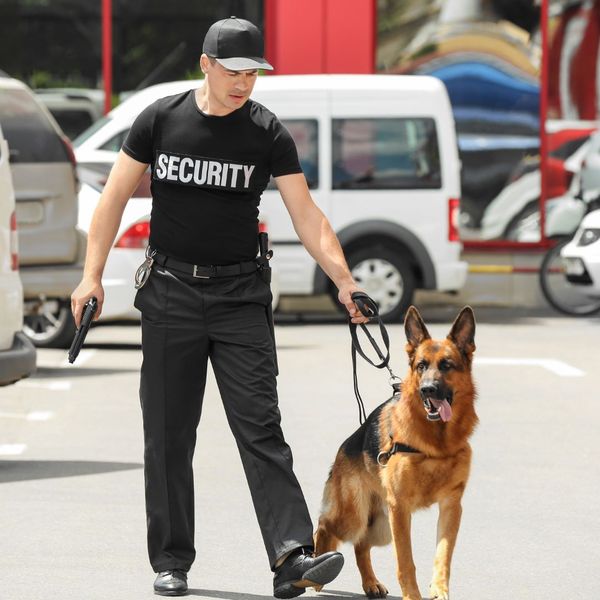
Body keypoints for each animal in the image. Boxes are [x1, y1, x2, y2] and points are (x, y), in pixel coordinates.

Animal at [314, 308, 478, 596]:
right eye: (421, 365)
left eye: (446, 365)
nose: (427, 389)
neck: (435, 444)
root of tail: (344, 447)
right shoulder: (400, 509)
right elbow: (405, 562)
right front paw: (412, 596)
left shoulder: (451, 505)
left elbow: (443, 555)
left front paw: (439, 589)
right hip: (355, 517)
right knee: (323, 525)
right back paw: (314, 572)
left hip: (380, 526)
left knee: (361, 545)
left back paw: (369, 582)